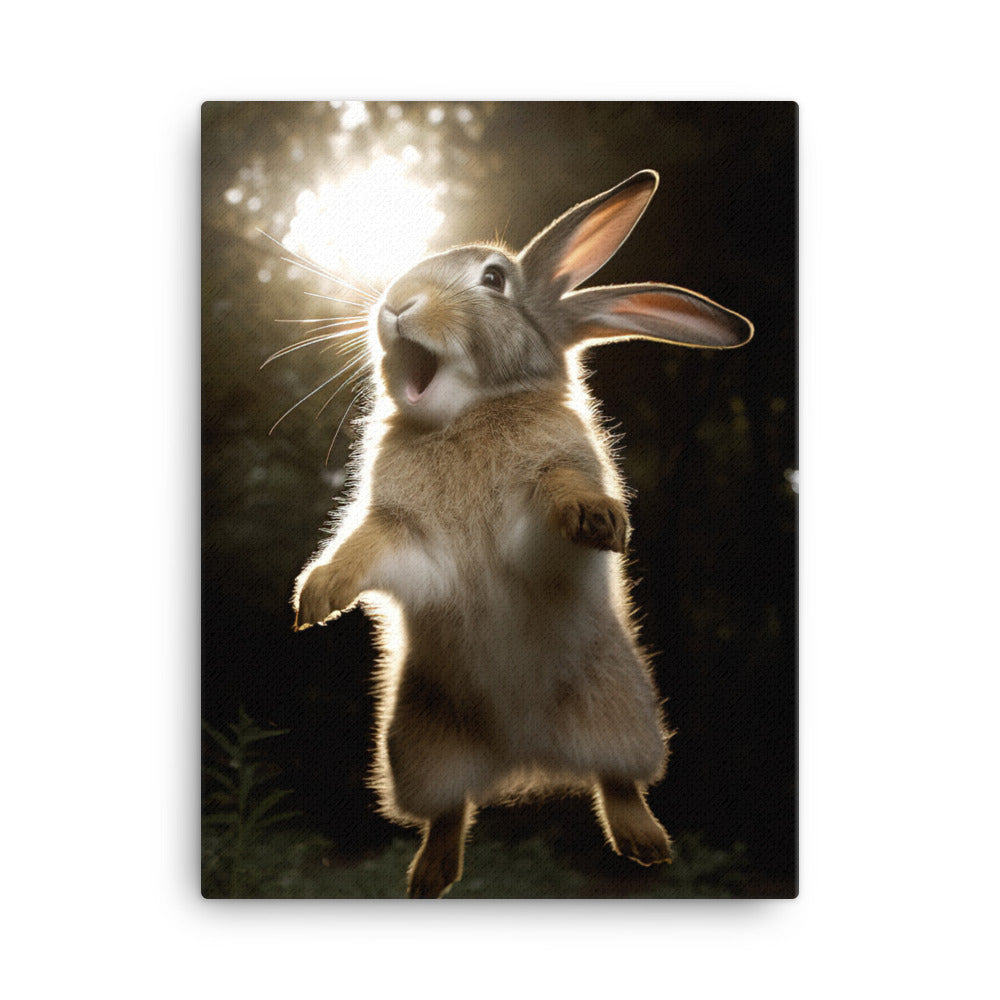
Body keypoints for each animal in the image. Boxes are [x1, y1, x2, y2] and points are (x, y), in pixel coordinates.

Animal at [292, 169, 753, 898]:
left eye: (493, 279)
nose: (395, 304)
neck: (469, 413)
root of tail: (525, 757)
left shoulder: (545, 498)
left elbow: (559, 490)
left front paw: (598, 518)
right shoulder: (406, 537)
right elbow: (365, 548)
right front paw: (317, 596)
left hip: (624, 716)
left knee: (618, 783)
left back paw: (646, 845)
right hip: (418, 748)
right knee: (449, 811)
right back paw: (430, 877)